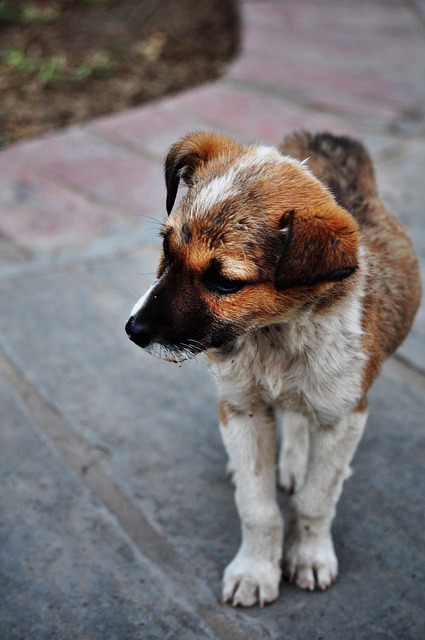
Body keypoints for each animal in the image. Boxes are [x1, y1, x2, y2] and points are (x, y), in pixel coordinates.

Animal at [124, 129, 420, 604]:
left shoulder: (344, 414)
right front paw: (256, 570)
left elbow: (315, 501)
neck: (275, 336)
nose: (132, 330)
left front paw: (309, 556)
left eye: (224, 281)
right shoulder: (242, 408)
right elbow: (256, 506)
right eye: (166, 248)